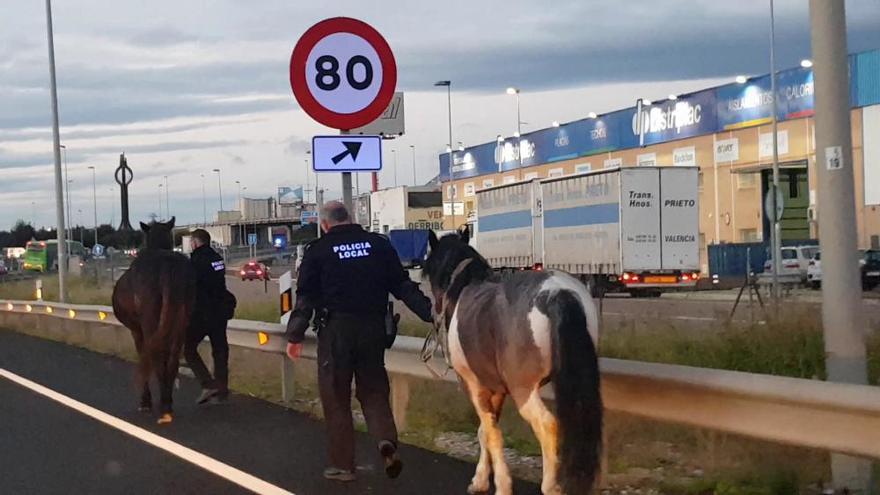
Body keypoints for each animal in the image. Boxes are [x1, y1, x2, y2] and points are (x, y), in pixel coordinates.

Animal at [111, 219, 196, 424]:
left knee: (156, 357)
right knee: (172, 358)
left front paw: (145, 401)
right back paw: (167, 402)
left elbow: (143, 356)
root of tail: (166, 267)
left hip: (150, 321)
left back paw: (162, 405)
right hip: (181, 320)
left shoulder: (137, 331)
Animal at [422, 232, 600, 495]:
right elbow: (485, 431)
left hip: (523, 389)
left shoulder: (474, 385)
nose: (433, 311)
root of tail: (557, 294)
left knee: (548, 425)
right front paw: (481, 479)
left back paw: (551, 485)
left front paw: (500, 484)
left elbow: (491, 432)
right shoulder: (497, 388)